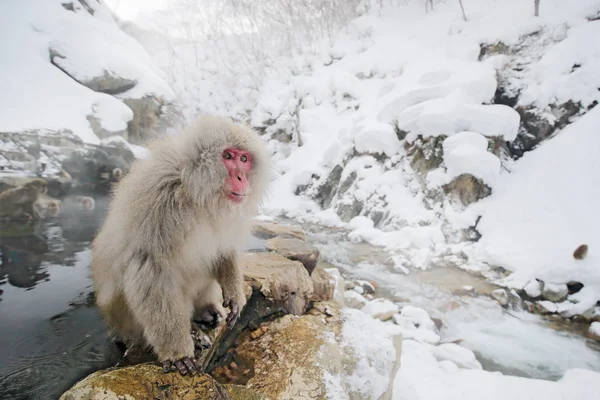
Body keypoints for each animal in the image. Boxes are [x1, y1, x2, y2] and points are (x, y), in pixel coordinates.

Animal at [91, 115, 272, 376]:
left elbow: (224, 248)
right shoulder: (160, 200)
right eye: (228, 156)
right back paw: (192, 333)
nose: (241, 178)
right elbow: (150, 268)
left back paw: (205, 310)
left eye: (244, 159)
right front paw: (178, 353)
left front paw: (234, 295)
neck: (196, 191)